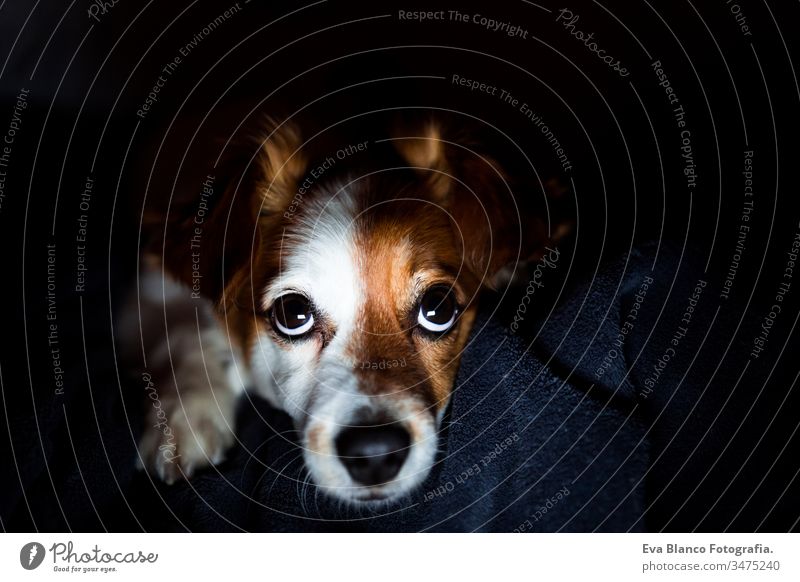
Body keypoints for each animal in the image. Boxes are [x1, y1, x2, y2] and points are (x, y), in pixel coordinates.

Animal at [120, 115, 564, 506]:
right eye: (293, 314)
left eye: (438, 308)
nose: (374, 453)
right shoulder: (150, 287)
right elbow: (186, 332)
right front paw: (186, 418)